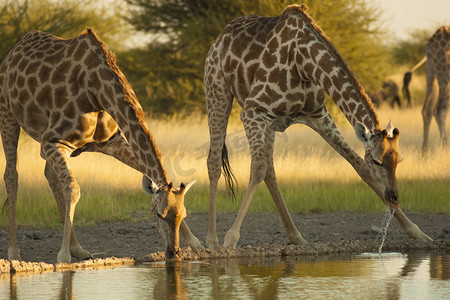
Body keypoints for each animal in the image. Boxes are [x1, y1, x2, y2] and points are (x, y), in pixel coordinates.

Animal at [0, 28, 203, 262]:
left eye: (183, 214)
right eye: (160, 215)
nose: (174, 253)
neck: (97, 91)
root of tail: (11, 54)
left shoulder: (112, 142)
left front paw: (196, 243)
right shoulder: (54, 140)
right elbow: (74, 189)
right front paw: (63, 257)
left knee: (50, 175)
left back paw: (77, 249)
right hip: (8, 115)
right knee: (12, 176)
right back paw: (14, 252)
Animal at [204, 4, 432, 250]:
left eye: (399, 160)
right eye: (377, 160)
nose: (394, 197)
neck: (304, 63)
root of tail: (218, 40)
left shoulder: (317, 114)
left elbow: (358, 166)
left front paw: (418, 233)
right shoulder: (252, 110)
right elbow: (257, 169)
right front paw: (230, 238)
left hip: (270, 122)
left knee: (270, 169)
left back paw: (296, 237)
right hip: (217, 92)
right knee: (215, 161)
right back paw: (211, 240)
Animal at [402, 25, 448, 155]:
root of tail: (429, 45)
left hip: (431, 71)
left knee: (427, 110)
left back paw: (425, 153)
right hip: (444, 74)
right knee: (439, 110)